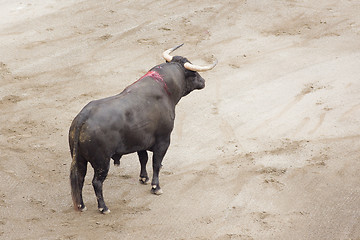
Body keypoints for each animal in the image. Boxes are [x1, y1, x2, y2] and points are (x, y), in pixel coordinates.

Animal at [69, 44, 218, 213]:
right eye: (193, 72)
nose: (203, 81)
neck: (165, 88)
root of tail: (83, 117)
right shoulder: (163, 140)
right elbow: (156, 163)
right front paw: (156, 187)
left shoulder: (140, 141)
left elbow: (143, 158)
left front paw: (143, 178)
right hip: (102, 162)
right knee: (96, 182)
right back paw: (103, 207)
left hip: (79, 159)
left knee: (79, 177)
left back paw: (81, 205)